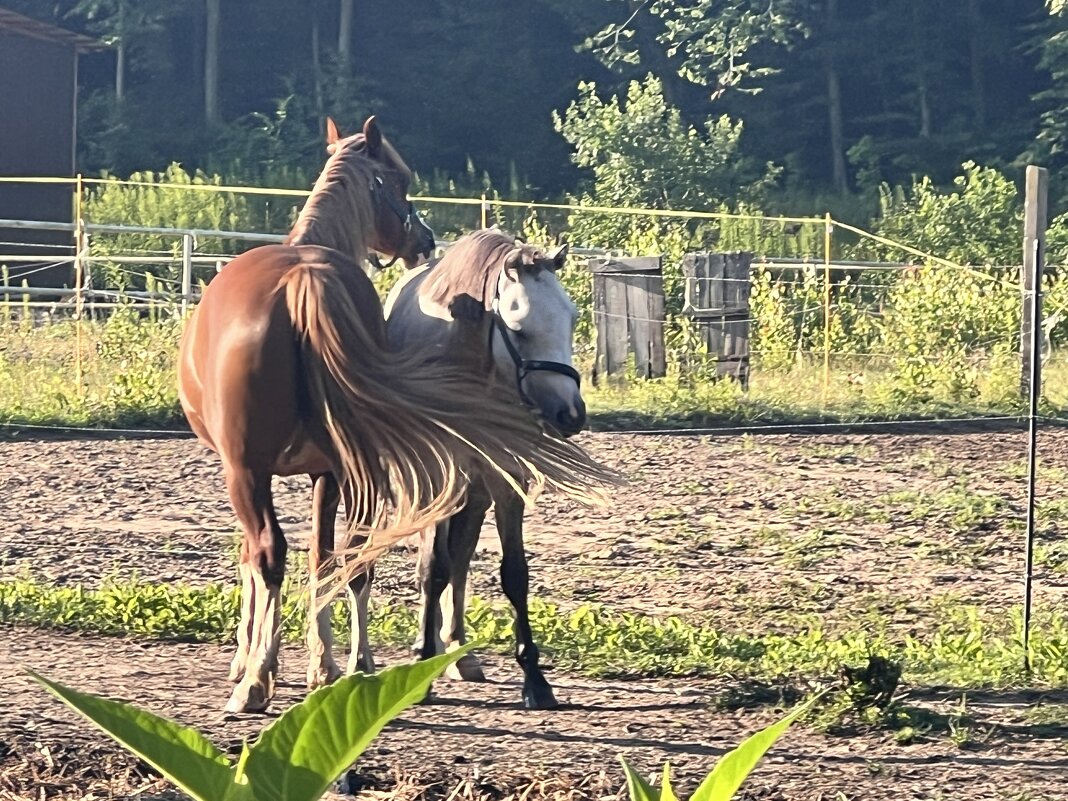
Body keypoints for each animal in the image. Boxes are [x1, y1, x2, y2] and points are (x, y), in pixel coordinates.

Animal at [380, 228, 589, 713]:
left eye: (571, 319)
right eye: (518, 327)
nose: (570, 414)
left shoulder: (506, 478)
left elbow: (514, 573)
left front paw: (535, 679)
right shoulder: (439, 472)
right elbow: (432, 566)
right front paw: (422, 661)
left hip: (474, 492)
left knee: (462, 554)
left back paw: (459, 651)